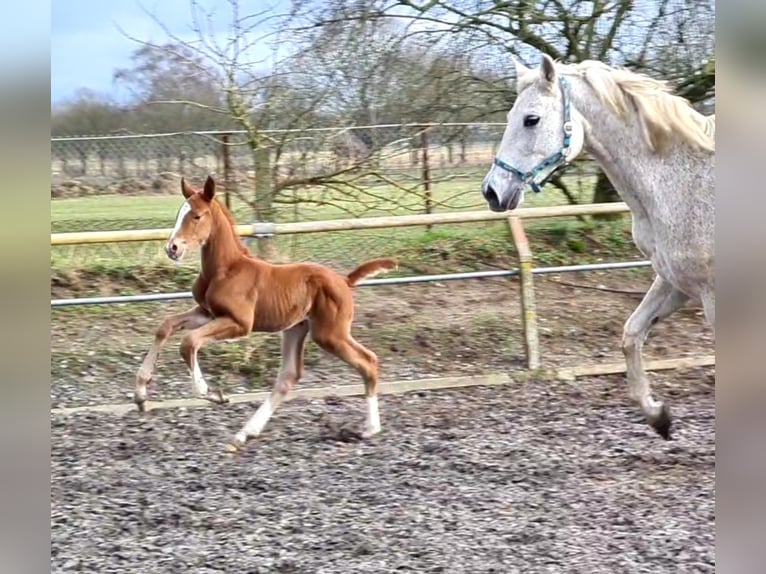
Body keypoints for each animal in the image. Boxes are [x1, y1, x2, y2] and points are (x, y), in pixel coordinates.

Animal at [134, 175, 397, 452]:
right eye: (179, 214)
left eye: (196, 215)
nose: (172, 248)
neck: (226, 269)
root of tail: (344, 281)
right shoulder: (206, 312)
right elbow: (165, 326)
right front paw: (140, 394)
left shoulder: (239, 323)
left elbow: (188, 342)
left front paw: (212, 393)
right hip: (296, 329)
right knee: (289, 377)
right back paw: (244, 434)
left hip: (330, 334)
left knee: (368, 361)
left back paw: (370, 428)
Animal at [480, 54, 714, 440]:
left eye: (531, 119)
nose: (492, 192)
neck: (685, 184)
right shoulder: (676, 281)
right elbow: (631, 334)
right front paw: (658, 417)